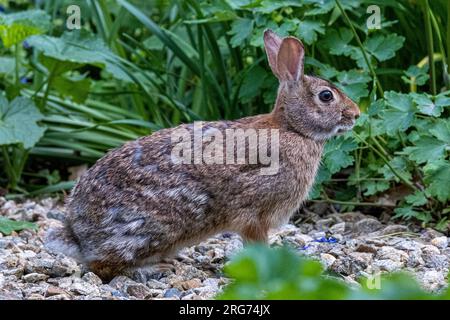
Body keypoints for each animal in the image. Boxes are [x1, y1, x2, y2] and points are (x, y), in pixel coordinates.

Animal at [45, 30, 360, 280]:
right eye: (326, 96)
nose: (356, 114)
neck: (293, 128)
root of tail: (78, 234)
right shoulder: (255, 214)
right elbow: (257, 245)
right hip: (154, 226)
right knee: (103, 266)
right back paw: (152, 269)